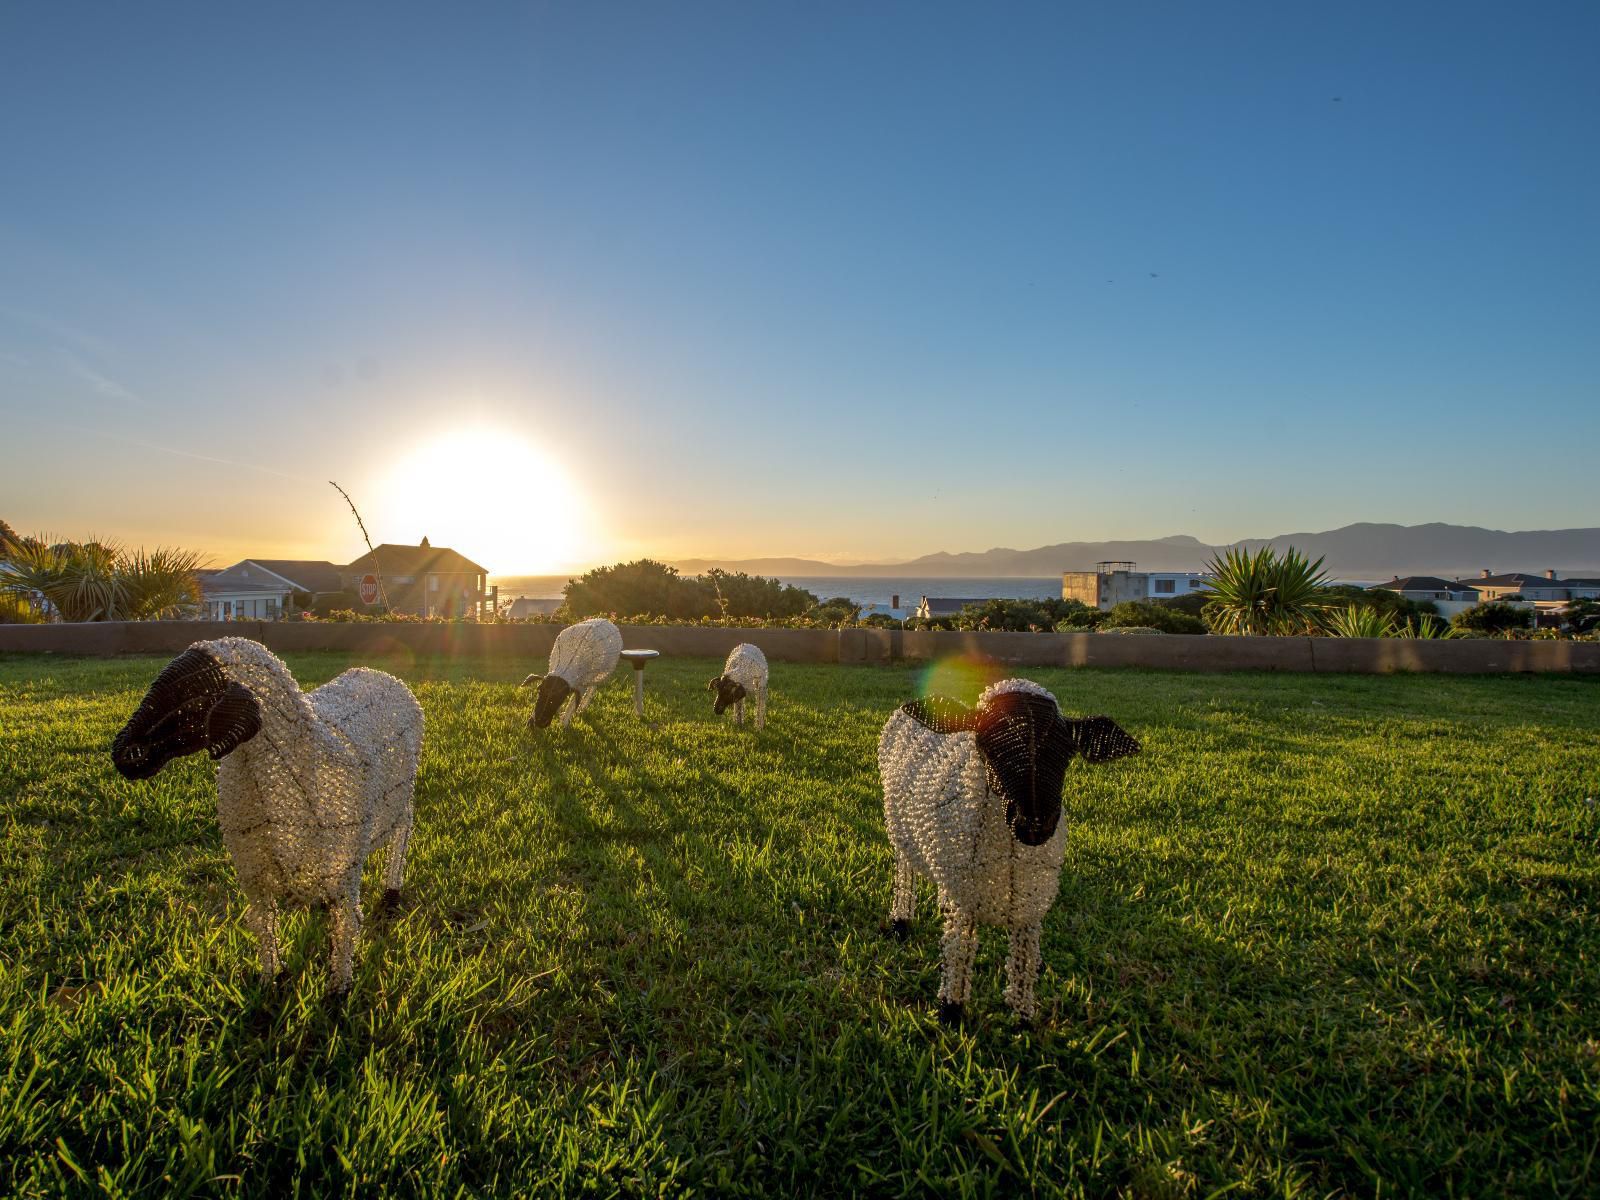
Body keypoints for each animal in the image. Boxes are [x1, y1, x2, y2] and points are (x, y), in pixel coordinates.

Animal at [113, 640, 425, 998]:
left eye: (191, 702)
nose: (124, 755)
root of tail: (382, 674)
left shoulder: (345, 872)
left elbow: (346, 926)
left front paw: (339, 990)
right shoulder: (253, 875)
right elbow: (263, 925)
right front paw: (272, 979)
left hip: (402, 802)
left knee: (401, 834)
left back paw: (391, 894)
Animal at [876, 681, 1139, 1030]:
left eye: (1067, 752)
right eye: (988, 745)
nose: (1035, 823)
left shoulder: (1030, 907)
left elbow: (1023, 962)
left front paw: (1023, 1019)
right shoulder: (967, 903)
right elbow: (959, 951)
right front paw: (951, 1012)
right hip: (901, 835)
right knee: (906, 872)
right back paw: (901, 922)